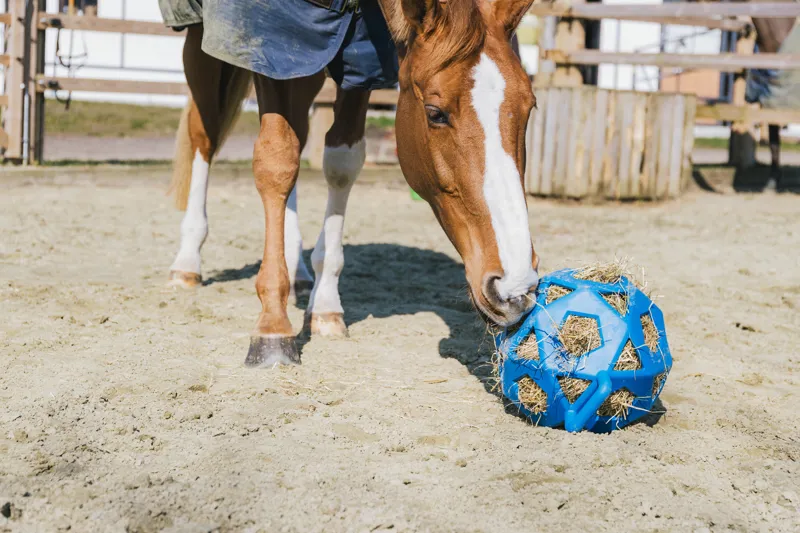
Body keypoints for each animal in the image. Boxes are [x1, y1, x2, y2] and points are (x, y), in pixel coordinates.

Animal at [161, 0, 540, 367]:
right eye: (435, 113)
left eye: (530, 108)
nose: (514, 287)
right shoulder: (271, 46)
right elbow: (276, 160)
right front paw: (273, 326)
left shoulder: (359, 63)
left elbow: (340, 164)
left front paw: (325, 303)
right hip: (206, 43)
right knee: (204, 136)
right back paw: (187, 262)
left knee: (298, 134)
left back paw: (297, 268)